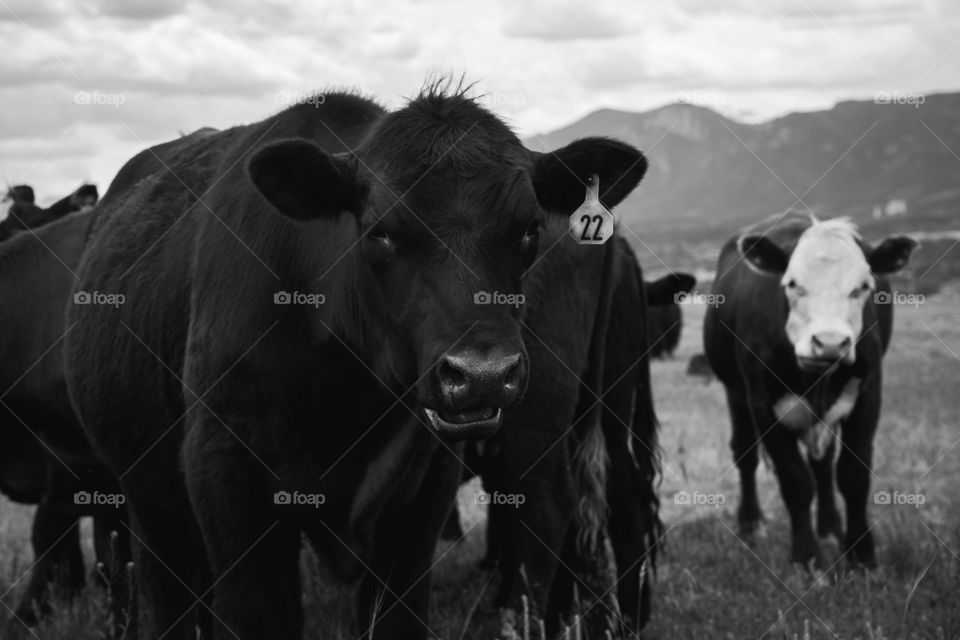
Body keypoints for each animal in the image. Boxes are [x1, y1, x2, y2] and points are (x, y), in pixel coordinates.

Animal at [64, 82, 648, 640]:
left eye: (530, 229)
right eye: (380, 231)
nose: (483, 375)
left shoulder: (424, 487)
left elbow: (396, 620)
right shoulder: (221, 468)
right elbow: (259, 617)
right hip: (149, 491)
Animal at [704, 214, 917, 568]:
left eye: (863, 287)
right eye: (793, 284)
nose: (830, 343)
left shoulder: (868, 396)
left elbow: (853, 476)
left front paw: (861, 553)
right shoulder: (763, 405)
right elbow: (796, 482)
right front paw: (806, 556)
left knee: (823, 464)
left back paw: (830, 526)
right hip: (735, 395)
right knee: (745, 453)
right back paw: (751, 521)